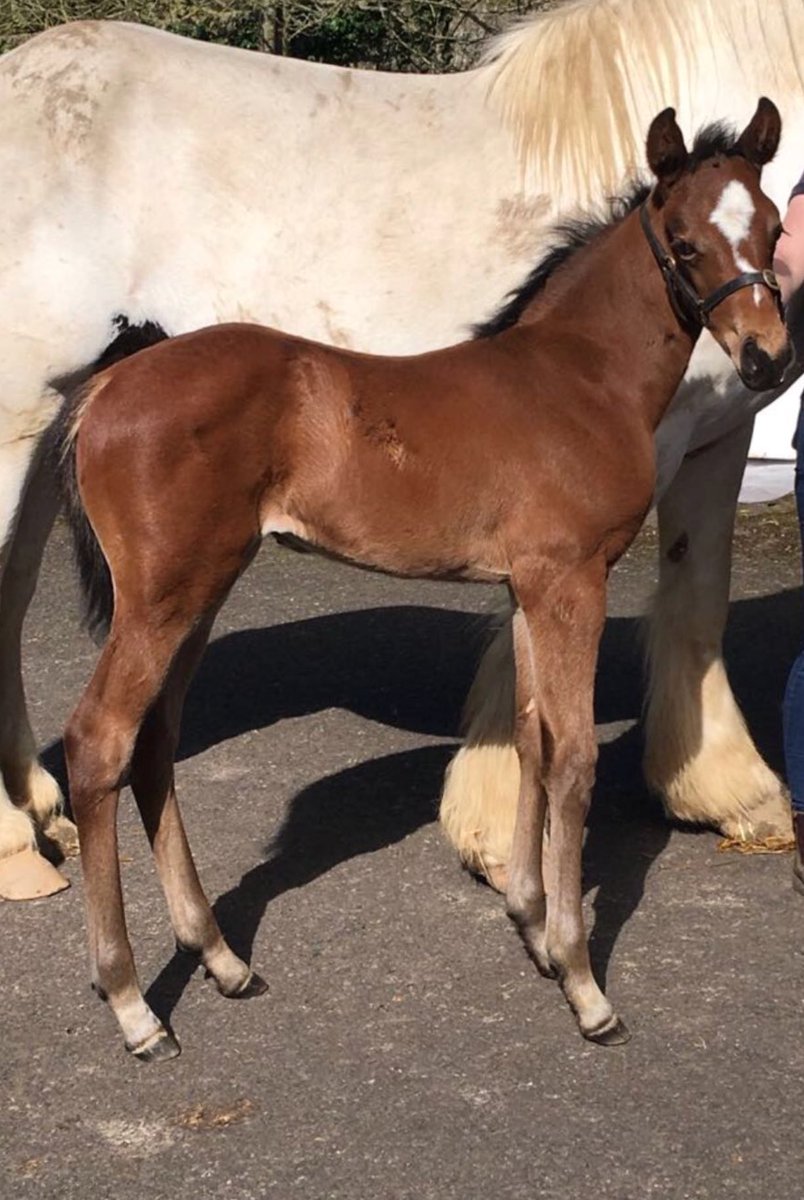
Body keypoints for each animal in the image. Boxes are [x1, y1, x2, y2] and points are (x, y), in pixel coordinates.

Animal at [1, 0, 803, 900]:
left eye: (777, 228)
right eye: (685, 242)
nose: (770, 357)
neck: (570, 364)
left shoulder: (707, 442)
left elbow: (693, 599)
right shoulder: (613, 506)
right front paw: (508, 843)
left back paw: (40, 811)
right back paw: (18, 849)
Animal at [55, 102, 788, 1060]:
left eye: (774, 230)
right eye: (688, 242)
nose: (768, 359)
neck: (580, 378)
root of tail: (106, 388)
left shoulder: (529, 587)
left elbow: (531, 740)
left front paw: (530, 925)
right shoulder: (572, 582)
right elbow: (575, 758)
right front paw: (584, 983)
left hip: (198, 595)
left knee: (154, 743)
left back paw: (221, 959)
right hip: (159, 600)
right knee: (99, 742)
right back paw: (135, 1007)